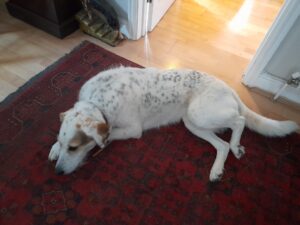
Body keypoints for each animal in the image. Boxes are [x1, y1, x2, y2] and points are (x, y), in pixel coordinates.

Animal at [48, 66, 298, 181]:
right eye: (65, 145)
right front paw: (53, 149)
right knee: (223, 145)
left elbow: (109, 135)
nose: (57, 172)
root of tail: (228, 87)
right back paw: (217, 169)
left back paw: (237, 145)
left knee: (240, 120)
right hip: (192, 122)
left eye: (74, 147)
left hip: (200, 113)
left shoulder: (132, 130)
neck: (97, 101)